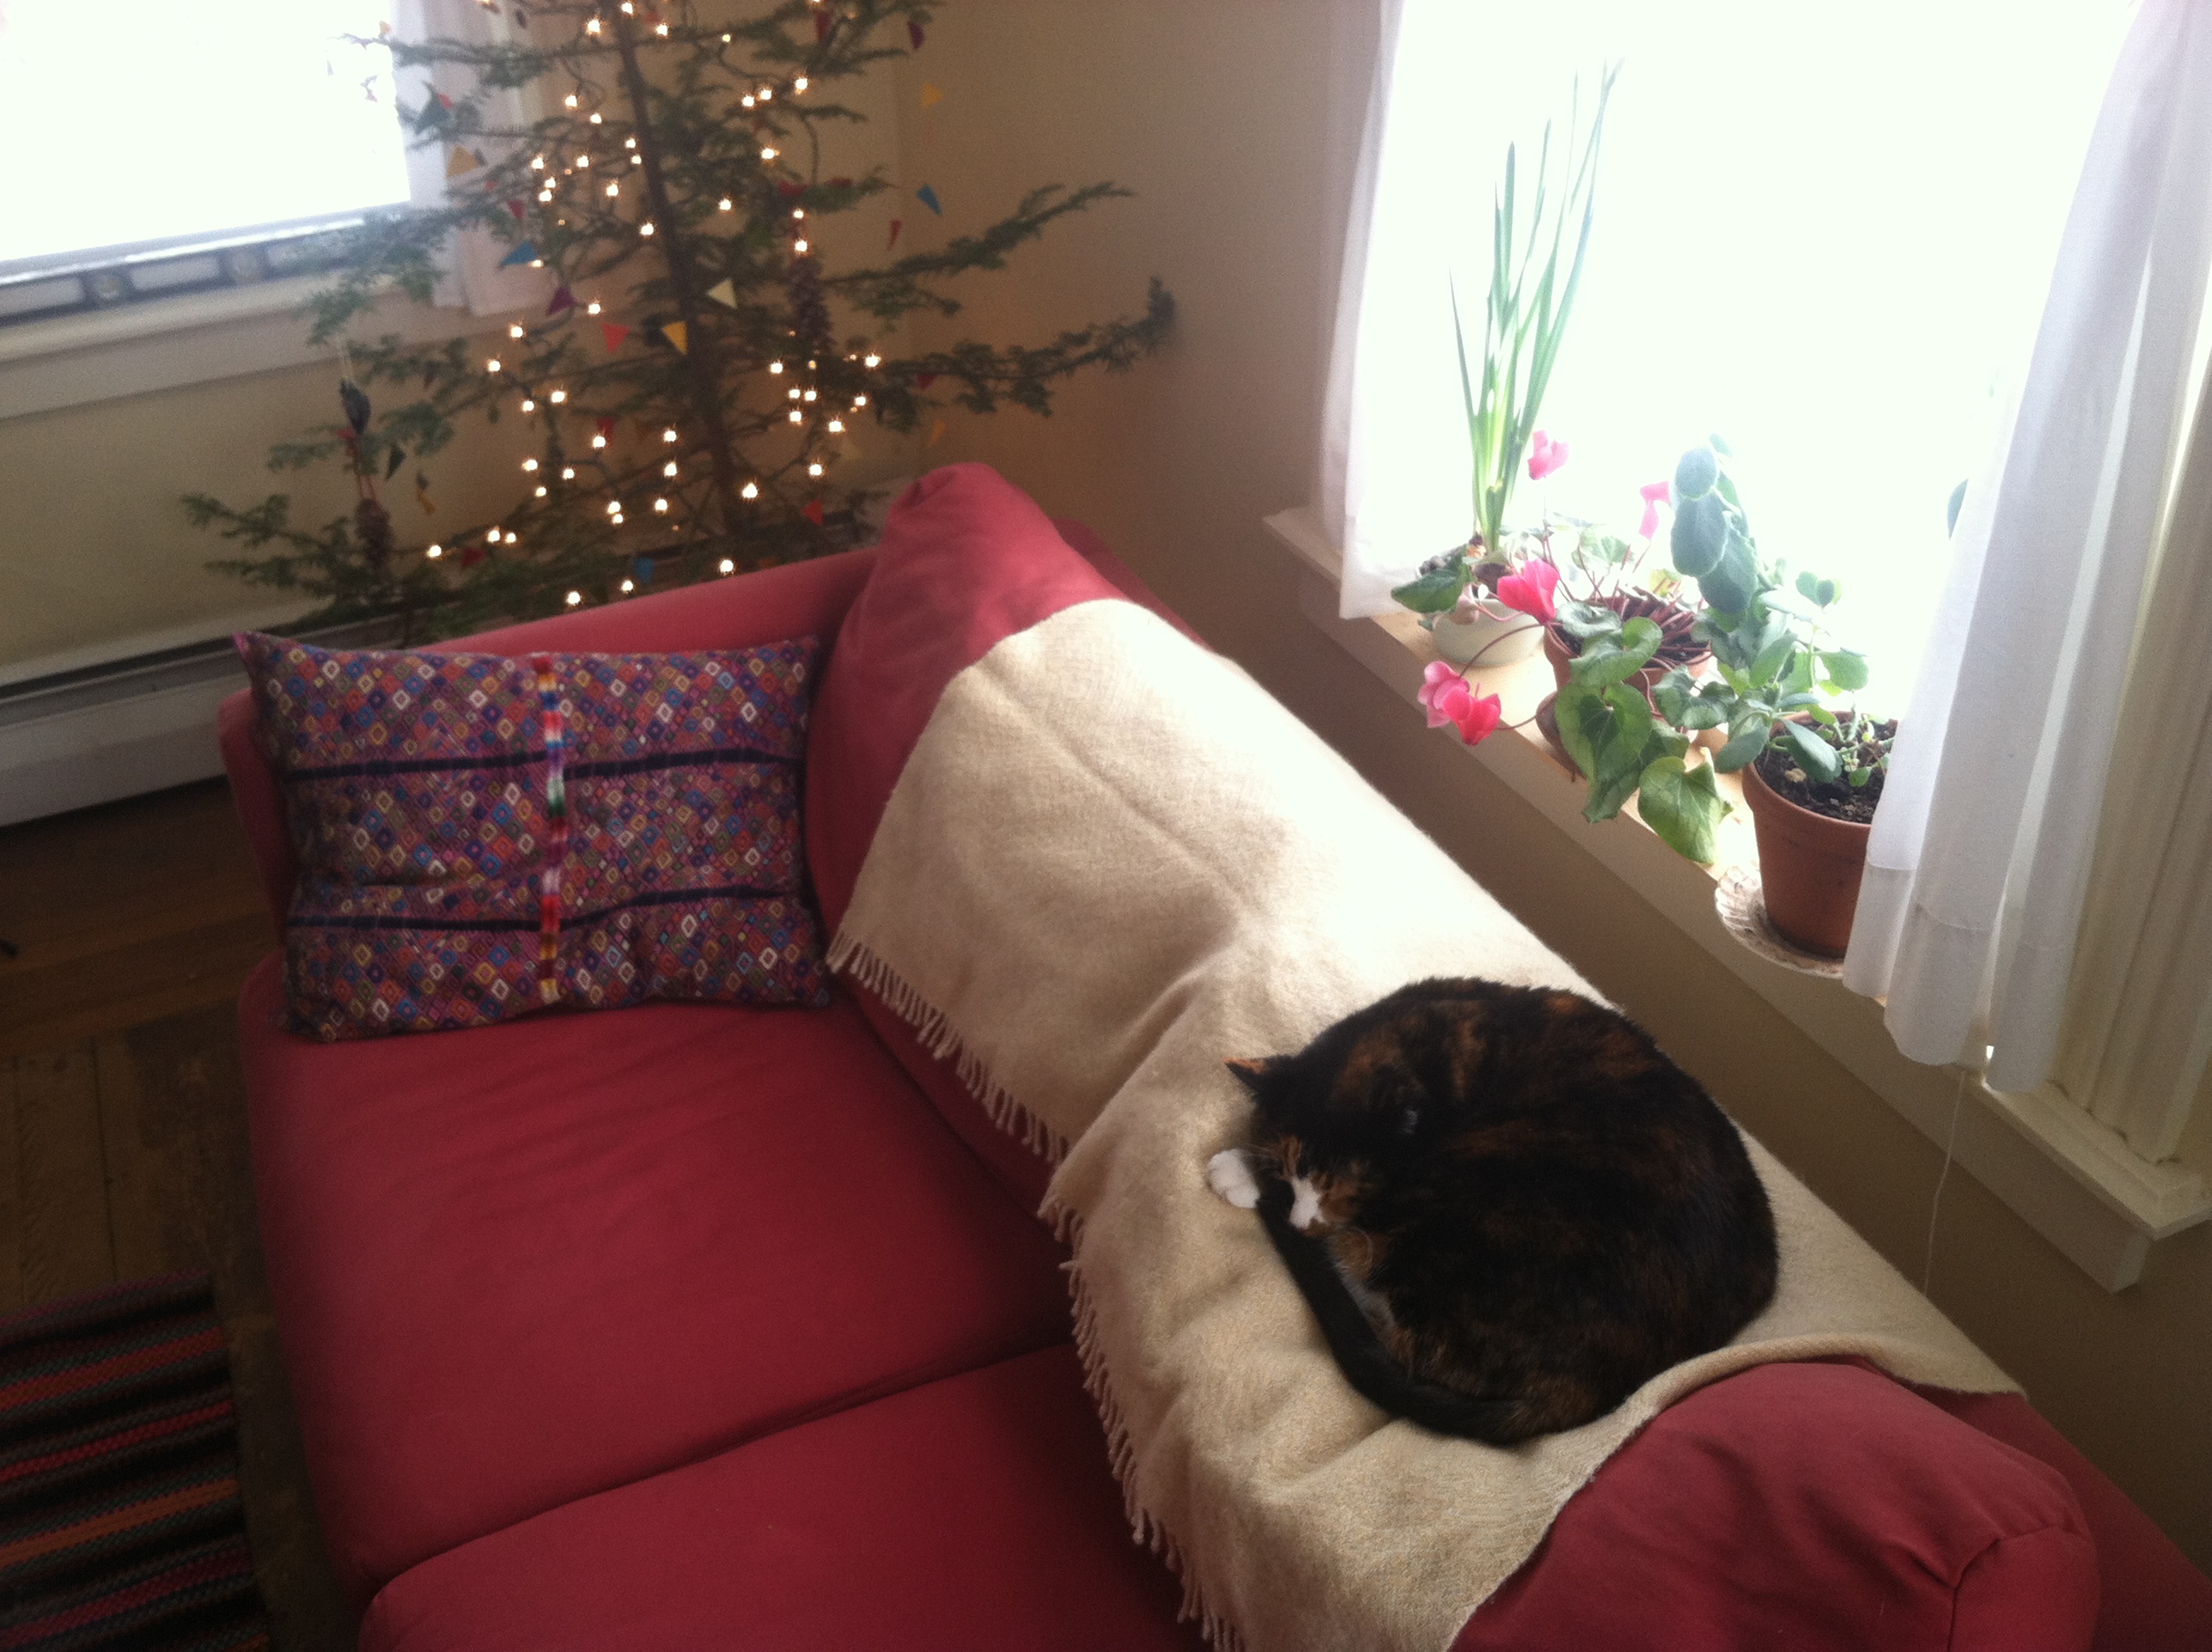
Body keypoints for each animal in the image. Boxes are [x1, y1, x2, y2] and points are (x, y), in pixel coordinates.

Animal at [1206, 977, 1778, 1445]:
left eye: (1341, 1189)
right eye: (1291, 1173)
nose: (1300, 1222)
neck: (1433, 1044)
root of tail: (1589, 1389)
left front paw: (1240, 1174)